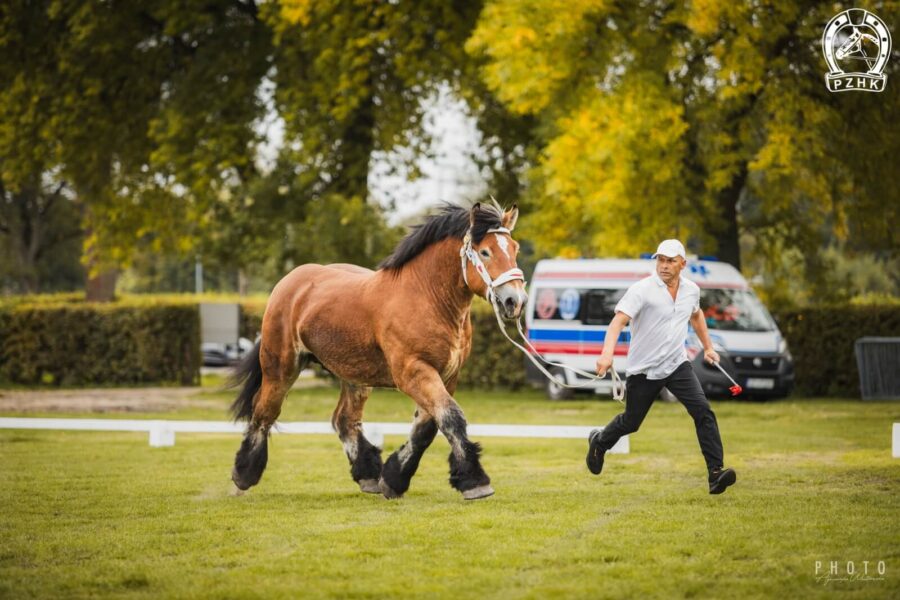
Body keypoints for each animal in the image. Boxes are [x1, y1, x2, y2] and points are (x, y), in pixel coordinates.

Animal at [229, 199, 528, 500]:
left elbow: (426, 428)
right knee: (264, 412)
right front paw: (475, 482)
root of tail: (289, 282)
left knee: (345, 420)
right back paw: (243, 476)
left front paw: (393, 479)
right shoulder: (413, 372)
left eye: (515, 249)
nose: (515, 301)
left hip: (354, 376)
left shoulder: (447, 376)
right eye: (485, 252)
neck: (426, 297)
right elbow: (451, 418)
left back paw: (368, 476)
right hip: (280, 368)